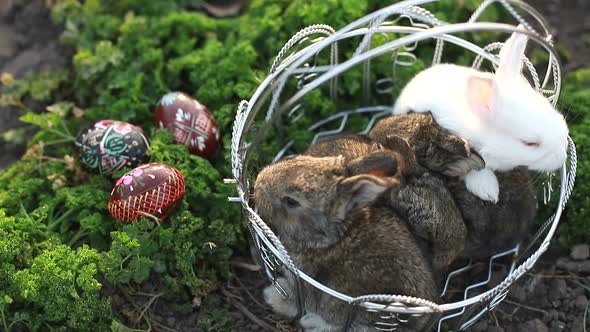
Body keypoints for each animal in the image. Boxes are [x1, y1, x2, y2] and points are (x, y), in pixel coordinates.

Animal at [254, 154, 440, 330]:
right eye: (293, 158)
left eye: (291, 201)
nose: (258, 183)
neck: (329, 239)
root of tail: (422, 319)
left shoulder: (301, 284)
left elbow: (294, 304)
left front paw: (271, 296)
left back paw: (311, 322)